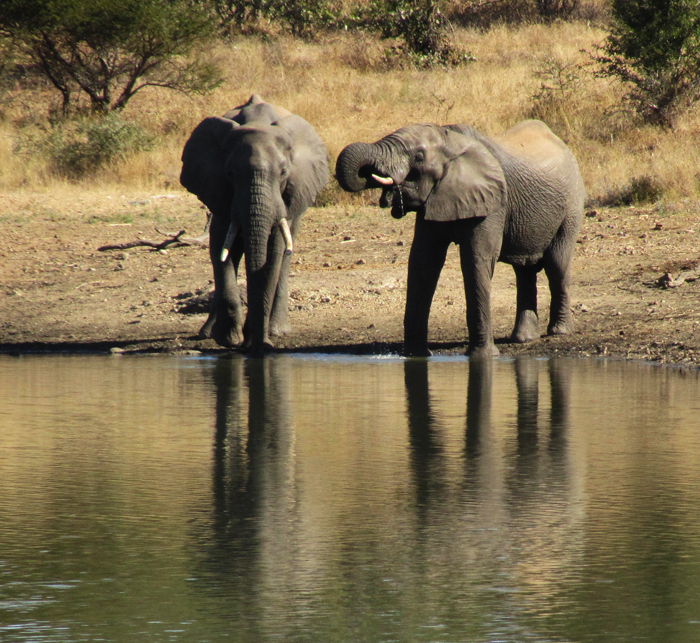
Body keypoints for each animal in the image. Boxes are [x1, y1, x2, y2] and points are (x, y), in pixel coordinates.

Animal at [180, 94, 329, 354]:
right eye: (229, 173)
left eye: (283, 172)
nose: (262, 347)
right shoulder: (219, 191)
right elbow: (220, 248)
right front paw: (229, 339)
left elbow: (274, 253)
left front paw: (257, 340)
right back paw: (207, 333)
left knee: (286, 255)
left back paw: (277, 330)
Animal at [335, 120, 585, 357]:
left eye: (418, 156)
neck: (451, 141)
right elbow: (423, 264)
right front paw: (416, 356)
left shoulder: (492, 202)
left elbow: (476, 260)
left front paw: (483, 356)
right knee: (524, 271)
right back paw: (523, 339)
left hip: (571, 208)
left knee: (556, 266)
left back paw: (559, 332)